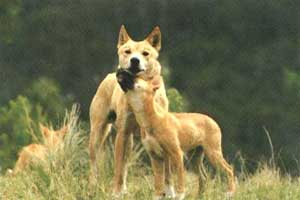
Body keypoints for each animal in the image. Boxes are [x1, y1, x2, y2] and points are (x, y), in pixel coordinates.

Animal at [88, 24, 170, 195]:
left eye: (145, 53)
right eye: (127, 51)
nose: (134, 60)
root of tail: (108, 76)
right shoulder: (123, 133)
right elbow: (118, 169)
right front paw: (116, 193)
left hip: (130, 142)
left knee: (125, 165)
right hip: (98, 133)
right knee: (94, 164)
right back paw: (93, 187)